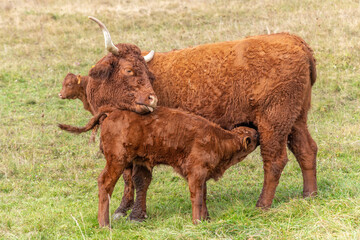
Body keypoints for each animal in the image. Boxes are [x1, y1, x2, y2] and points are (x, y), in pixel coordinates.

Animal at [59, 107, 258, 227]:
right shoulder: (196, 173)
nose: (259, 134)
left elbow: (203, 196)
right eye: (255, 136)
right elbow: (197, 198)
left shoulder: (202, 177)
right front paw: (197, 222)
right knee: (105, 183)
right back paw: (105, 225)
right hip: (117, 161)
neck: (220, 140)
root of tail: (112, 112)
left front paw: (206, 220)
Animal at [85, 16, 318, 219]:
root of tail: (293, 40)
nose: (152, 99)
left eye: (149, 75)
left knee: (274, 160)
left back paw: (262, 204)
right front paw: (122, 209)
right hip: (296, 120)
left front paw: (136, 215)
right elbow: (127, 177)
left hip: (273, 121)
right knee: (306, 150)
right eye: (129, 70)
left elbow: (139, 178)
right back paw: (310, 195)